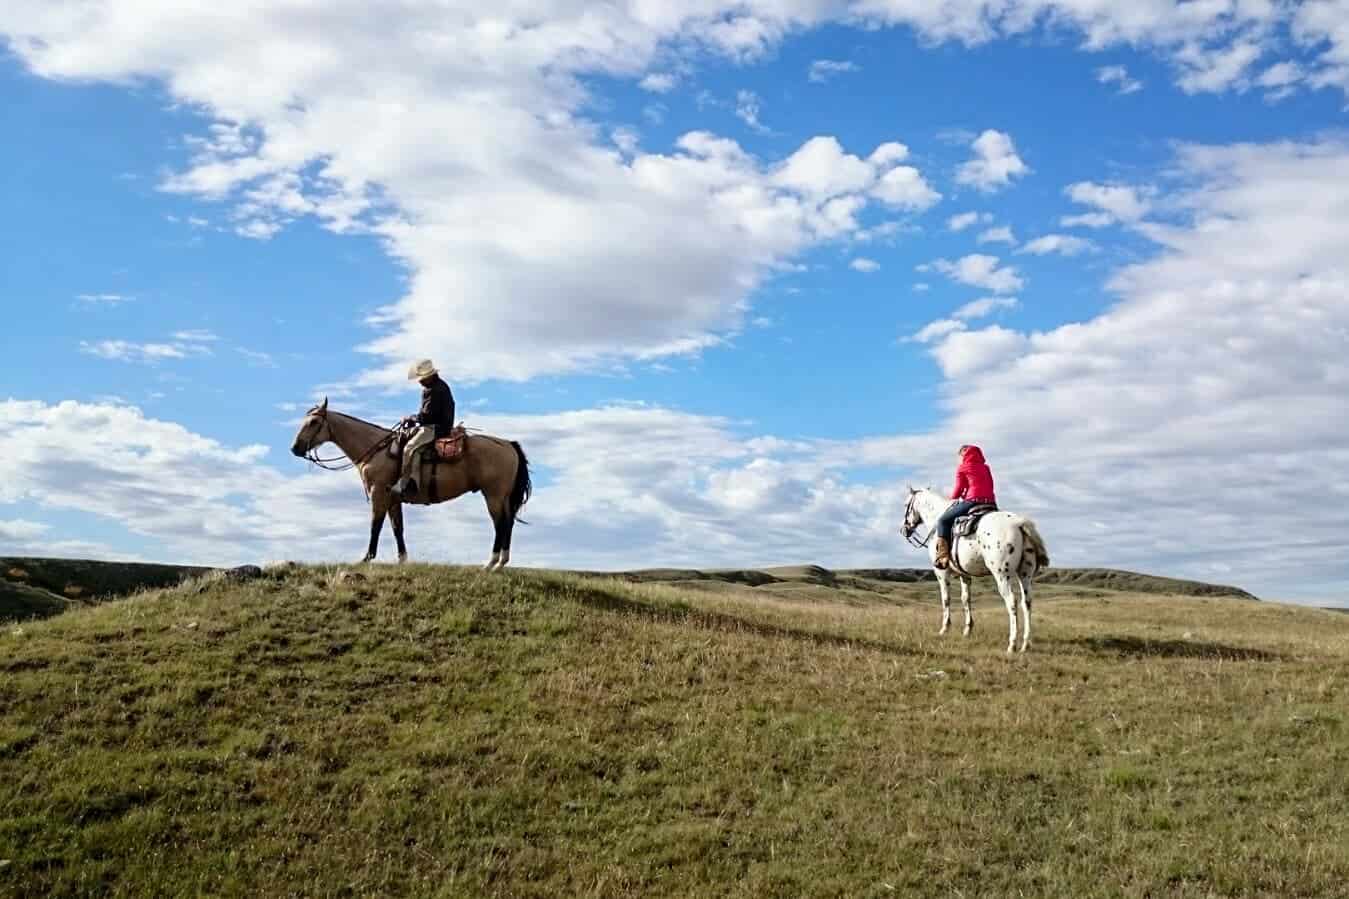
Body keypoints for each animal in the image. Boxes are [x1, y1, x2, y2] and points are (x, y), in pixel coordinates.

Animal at [290, 396, 531, 566]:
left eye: (313, 422)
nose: (295, 448)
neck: (376, 450)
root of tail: (509, 444)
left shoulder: (379, 492)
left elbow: (376, 524)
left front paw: (367, 558)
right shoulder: (393, 498)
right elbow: (398, 527)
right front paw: (402, 559)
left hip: (493, 495)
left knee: (500, 523)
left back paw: (491, 563)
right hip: (503, 496)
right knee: (508, 522)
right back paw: (501, 563)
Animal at [906, 485, 1052, 647]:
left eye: (906, 505)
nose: (904, 529)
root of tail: (1019, 523)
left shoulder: (941, 572)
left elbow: (946, 598)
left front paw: (944, 628)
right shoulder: (964, 574)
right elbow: (966, 599)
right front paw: (967, 629)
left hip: (1002, 575)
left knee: (1012, 602)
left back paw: (1012, 644)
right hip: (1025, 574)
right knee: (1027, 602)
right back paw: (1025, 644)